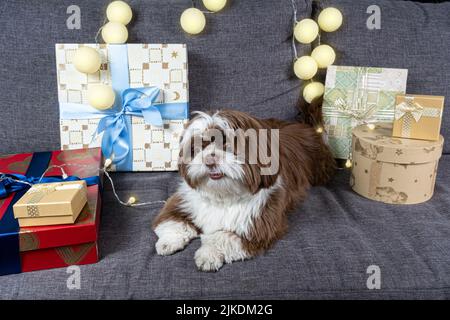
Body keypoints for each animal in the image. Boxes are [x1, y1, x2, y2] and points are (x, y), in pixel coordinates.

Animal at [153, 109, 336, 272]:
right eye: (198, 147)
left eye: (227, 145)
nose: (209, 159)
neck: (223, 196)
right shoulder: (183, 202)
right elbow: (172, 221)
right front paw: (168, 242)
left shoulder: (258, 223)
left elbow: (222, 237)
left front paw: (208, 255)